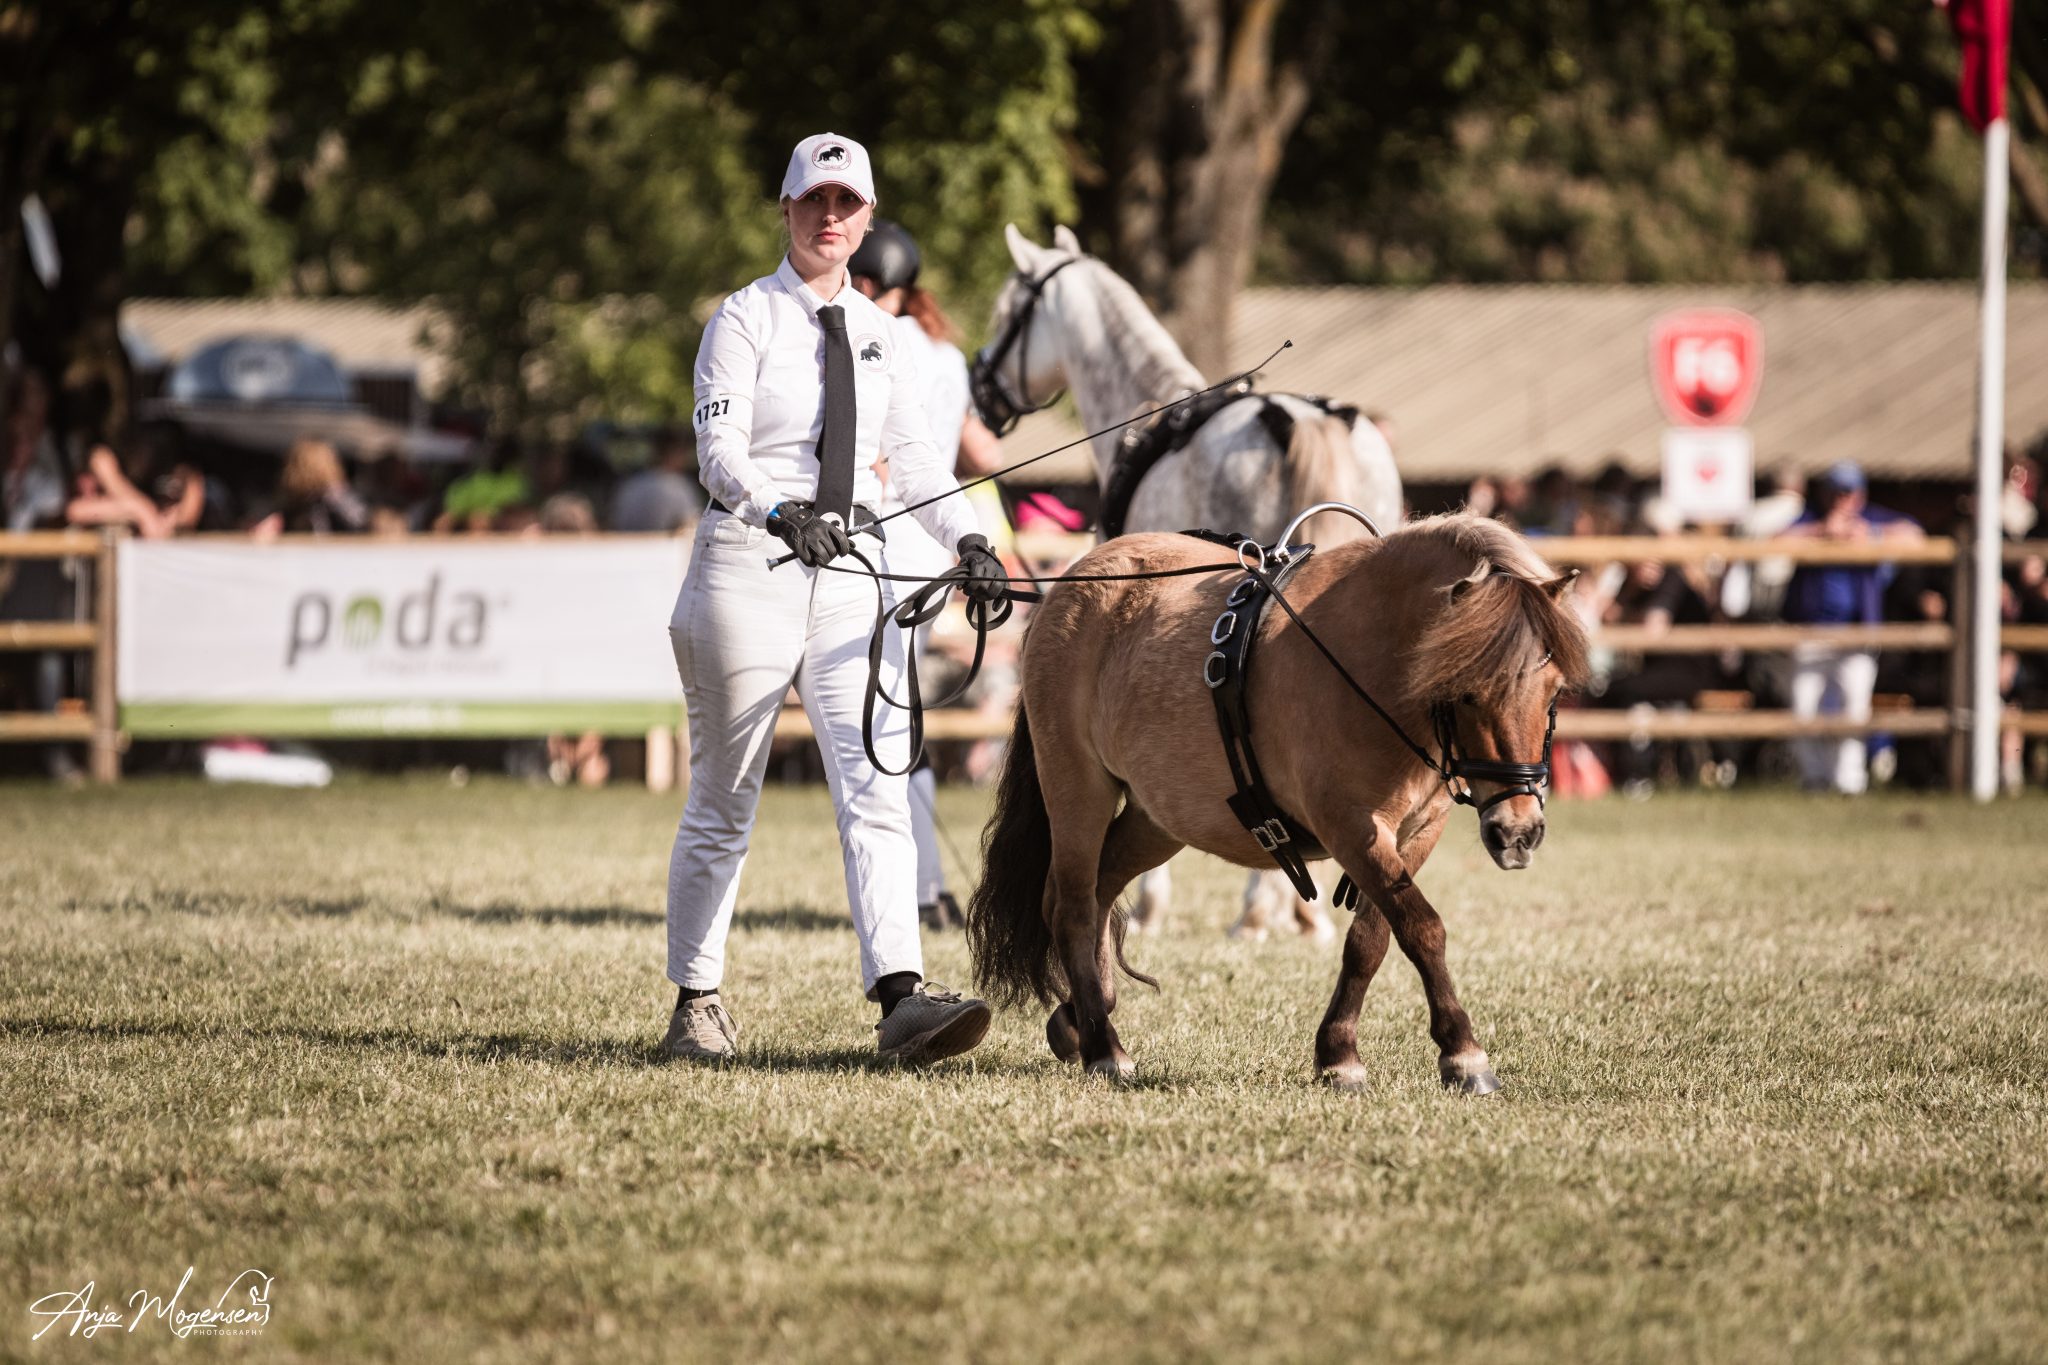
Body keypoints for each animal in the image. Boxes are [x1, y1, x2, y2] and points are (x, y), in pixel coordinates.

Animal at [966, 511, 1589, 1088]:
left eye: (1554, 690)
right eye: (1464, 692)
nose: (1517, 832)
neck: (1370, 658)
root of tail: (1070, 585)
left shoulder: (1417, 831)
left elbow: (1371, 939)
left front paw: (1338, 1052)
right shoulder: (1351, 827)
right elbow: (1422, 928)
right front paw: (1462, 1053)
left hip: (1157, 819)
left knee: (1099, 889)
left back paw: (1081, 1015)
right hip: (1077, 785)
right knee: (1072, 904)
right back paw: (1103, 1045)